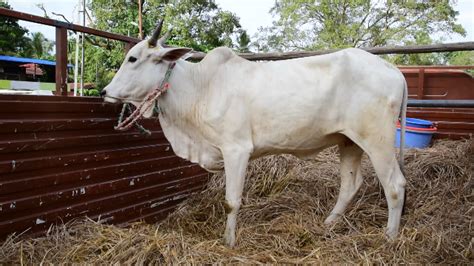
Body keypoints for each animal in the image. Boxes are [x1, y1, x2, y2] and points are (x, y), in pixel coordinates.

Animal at [103, 27, 408, 247]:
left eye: (133, 58)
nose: (104, 92)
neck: (201, 88)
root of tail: (394, 70)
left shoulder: (236, 150)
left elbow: (231, 201)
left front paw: (228, 242)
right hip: (349, 142)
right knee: (350, 185)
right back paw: (328, 223)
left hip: (377, 141)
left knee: (395, 185)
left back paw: (390, 238)